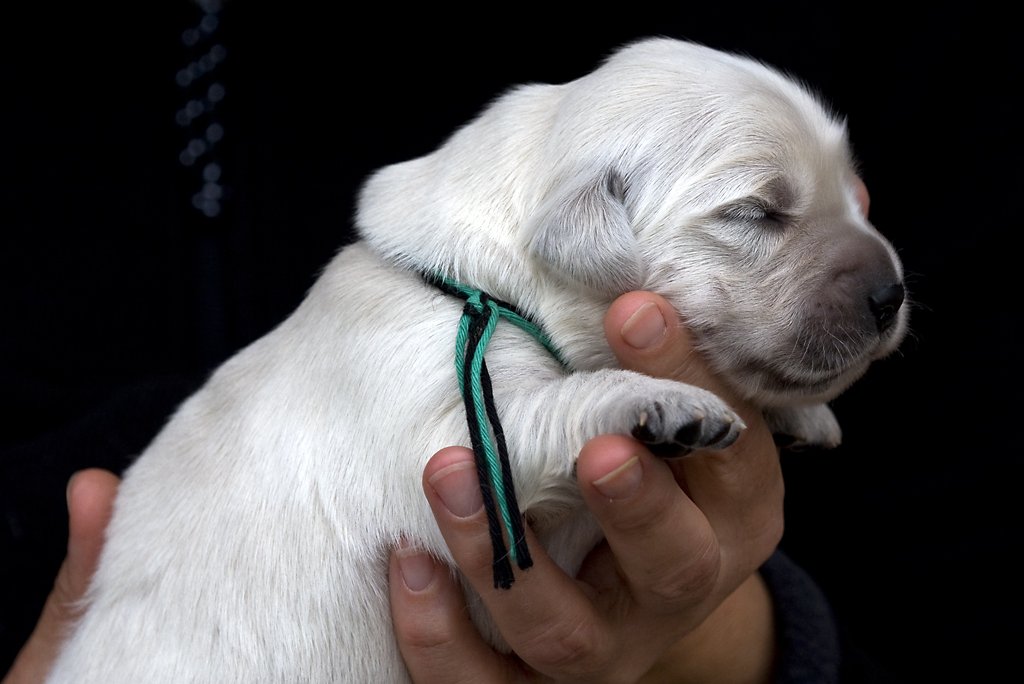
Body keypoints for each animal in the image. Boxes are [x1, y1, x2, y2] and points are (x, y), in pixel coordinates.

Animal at [46, 38, 905, 684]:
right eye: (757, 212)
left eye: (851, 196)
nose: (892, 293)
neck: (478, 282)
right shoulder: (452, 438)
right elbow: (561, 403)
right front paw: (663, 403)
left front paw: (801, 413)